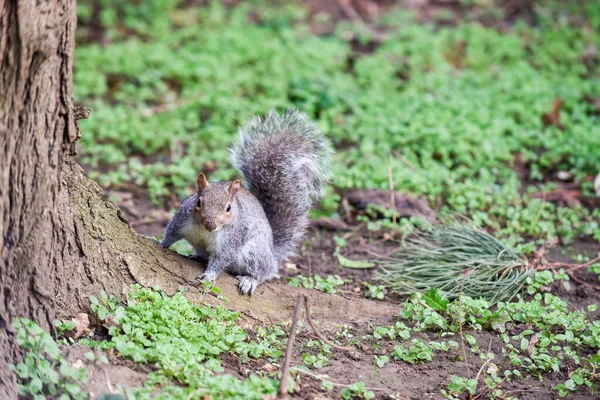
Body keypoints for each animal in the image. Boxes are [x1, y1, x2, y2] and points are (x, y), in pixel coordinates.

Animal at [159, 109, 332, 294]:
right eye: (198, 202)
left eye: (228, 208)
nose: (210, 224)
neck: (204, 231)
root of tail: (272, 254)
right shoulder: (181, 219)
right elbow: (171, 233)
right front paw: (160, 242)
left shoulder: (231, 240)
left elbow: (220, 259)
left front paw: (209, 275)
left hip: (254, 254)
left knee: (263, 272)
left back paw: (251, 280)